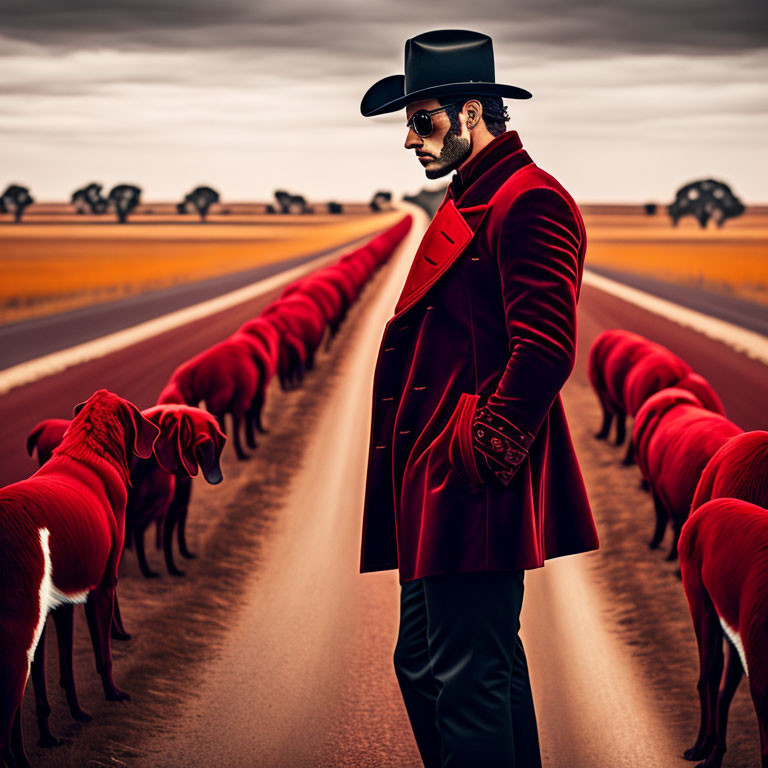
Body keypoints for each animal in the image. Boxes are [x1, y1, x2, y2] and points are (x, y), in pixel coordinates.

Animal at [0, 390, 159, 768]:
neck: (89, 447)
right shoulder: (102, 587)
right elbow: (104, 654)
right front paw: (113, 694)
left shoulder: (60, 607)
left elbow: (61, 674)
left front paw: (61, 725)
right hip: (14, 645)